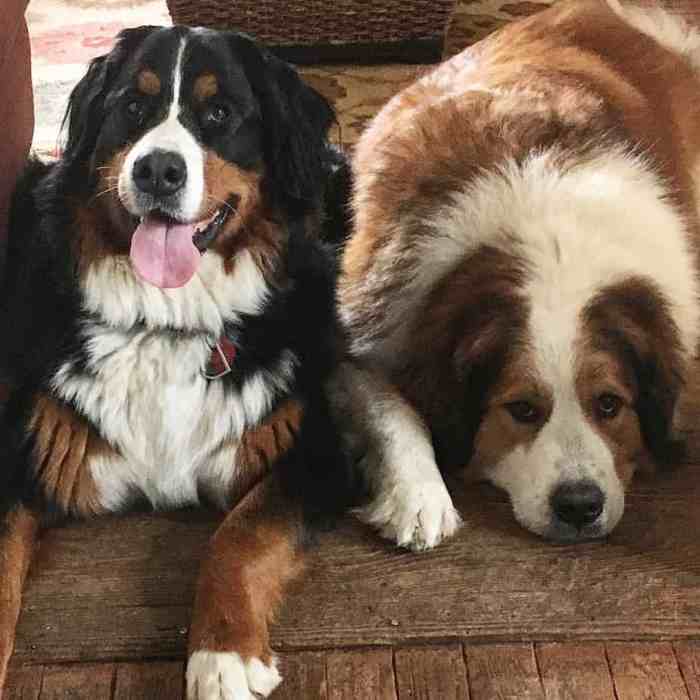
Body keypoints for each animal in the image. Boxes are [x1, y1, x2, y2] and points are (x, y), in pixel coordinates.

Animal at [1, 24, 356, 696]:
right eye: (132, 107)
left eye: (219, 114)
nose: (157, 170)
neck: (163, 325)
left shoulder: (314, 451)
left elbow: (241, 536)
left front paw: (223, 656)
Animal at [336, 0, 700, 548]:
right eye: (523, 409)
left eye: (609, 405)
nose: (580, 506)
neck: (553, 246)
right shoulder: (374, 321)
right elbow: (387, 408)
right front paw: (417, 494)